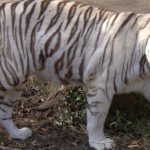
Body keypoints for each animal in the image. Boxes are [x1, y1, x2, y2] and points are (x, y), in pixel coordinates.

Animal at [0, 0, 150, 149]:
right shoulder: (101, 84)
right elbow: (97, 118)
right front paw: (99, 142)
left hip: (18, 82)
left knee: (4, 110)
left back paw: (18, 133)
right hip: (8, 74)